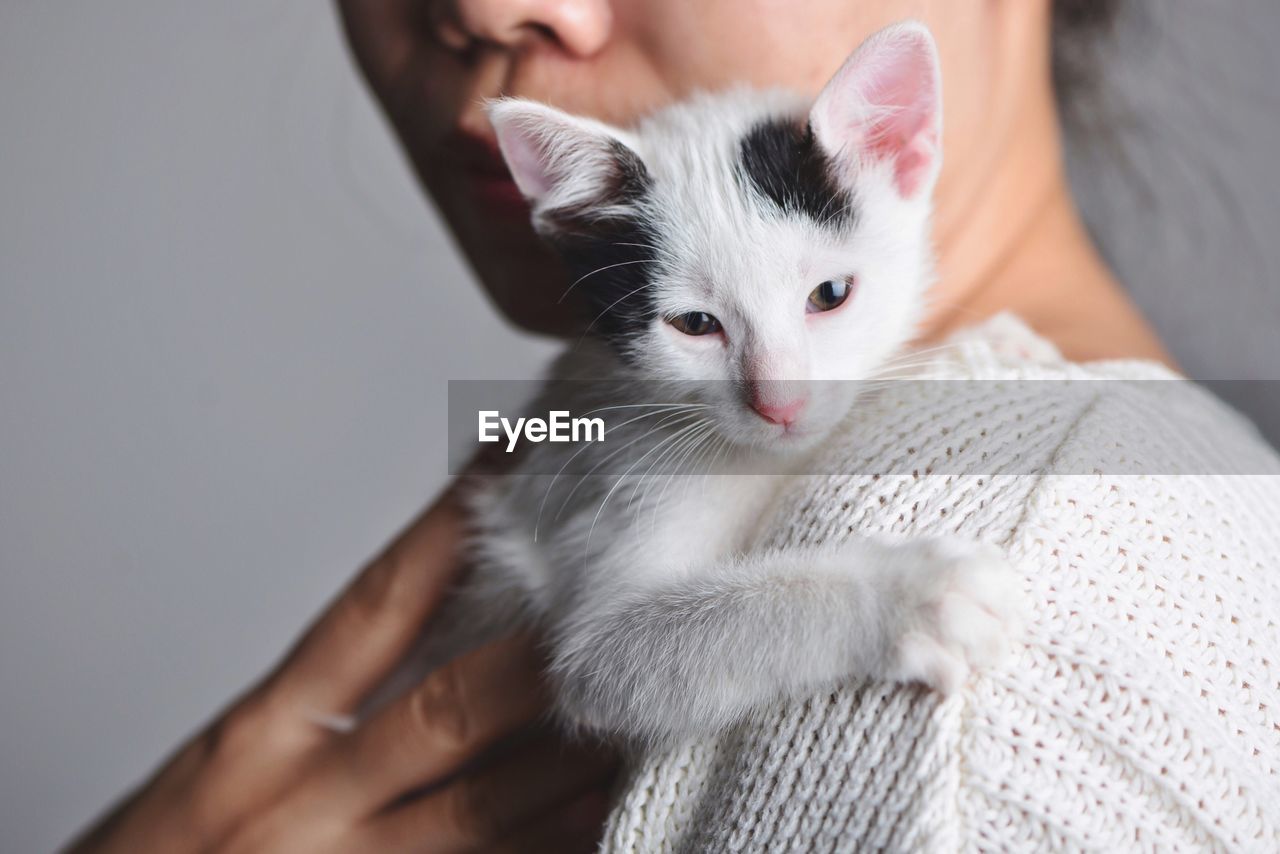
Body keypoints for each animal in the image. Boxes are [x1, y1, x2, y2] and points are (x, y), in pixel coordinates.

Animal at [450, 21, 1018, 747]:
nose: (780, 404)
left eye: (830, 294)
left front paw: (996, 340)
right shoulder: (607, 494)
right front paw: (913, 595)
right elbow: (627, 647)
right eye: (695, 324)